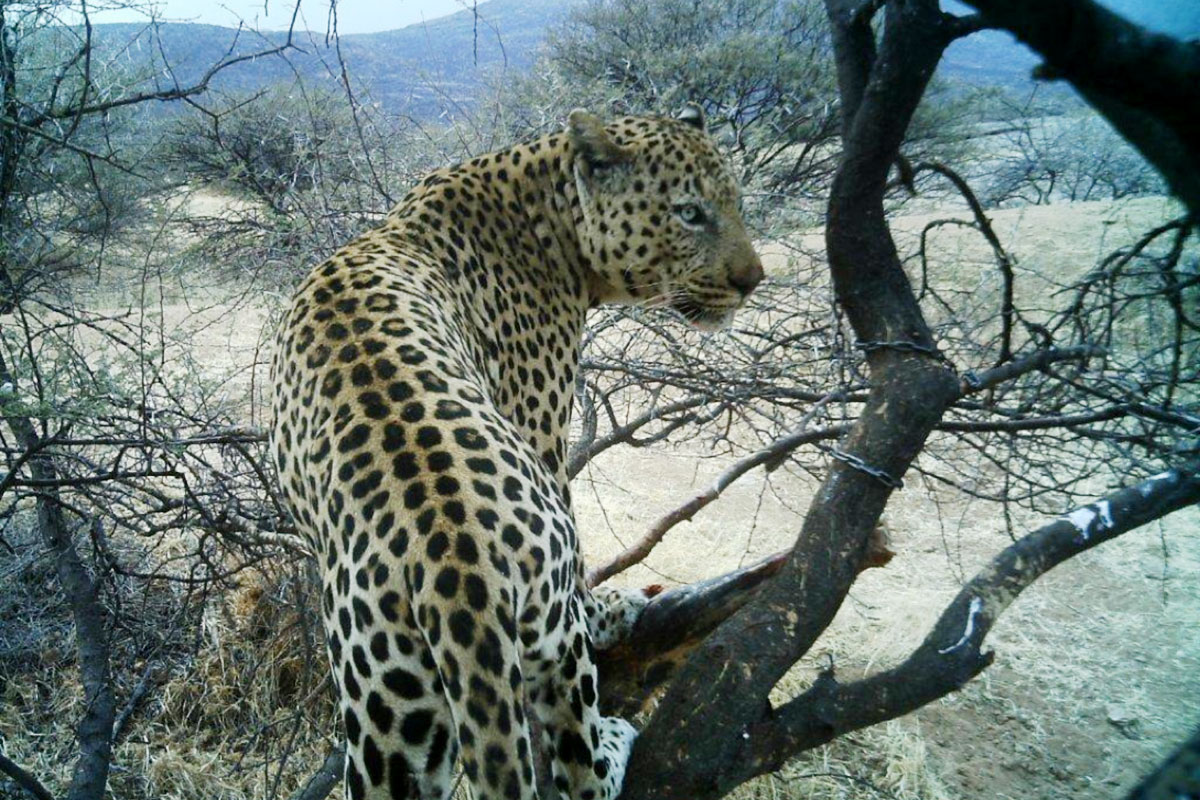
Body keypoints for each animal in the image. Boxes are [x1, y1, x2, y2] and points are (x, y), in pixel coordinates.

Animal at [269, 104, 763, 800]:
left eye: (736, 202)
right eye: (689, 212)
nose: (752, 280)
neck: (553, 215)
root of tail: (456, 569)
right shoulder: (542, 434)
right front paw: (609, 608)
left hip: (389, 714)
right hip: (552, 648)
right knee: (578, 765)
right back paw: (613, 737)